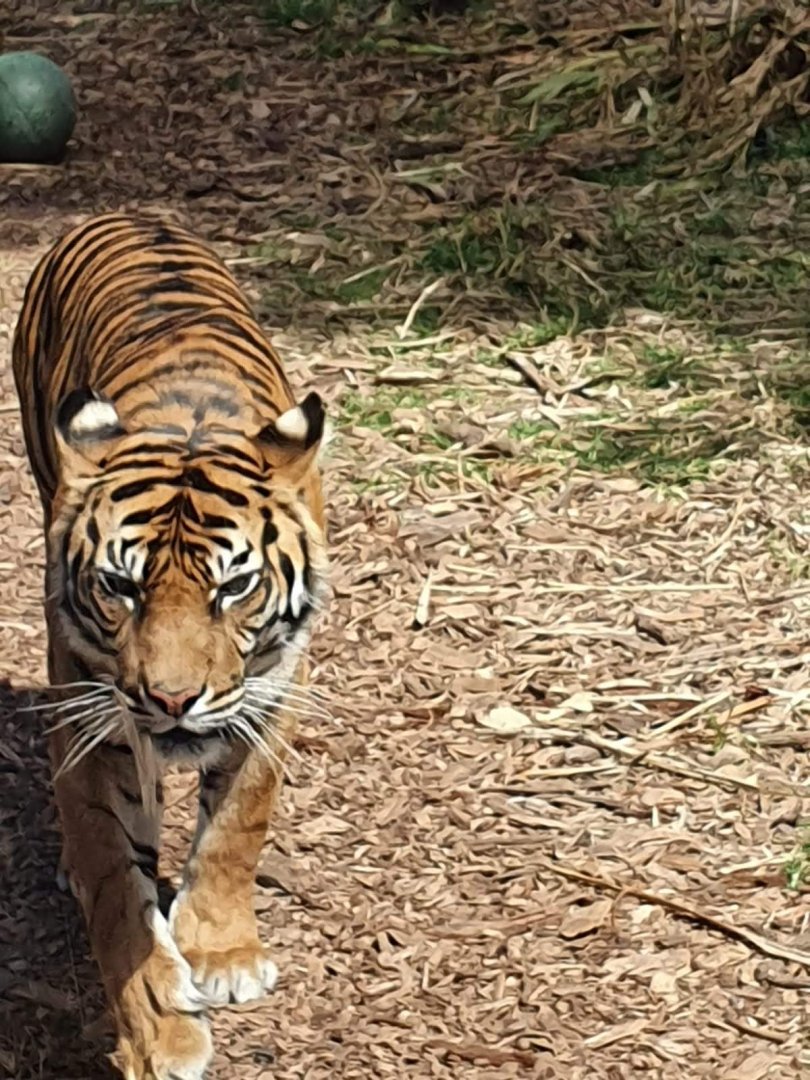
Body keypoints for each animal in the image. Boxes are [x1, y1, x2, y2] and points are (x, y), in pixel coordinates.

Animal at [12, 212, 329, 1080]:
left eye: (235, 586)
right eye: (121, 587)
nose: (173, 699)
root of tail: (125, 213)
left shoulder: (274, 692)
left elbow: (237, 823)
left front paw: (221, 953)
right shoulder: (92, 712)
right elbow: (117, 888)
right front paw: (161, 1033)